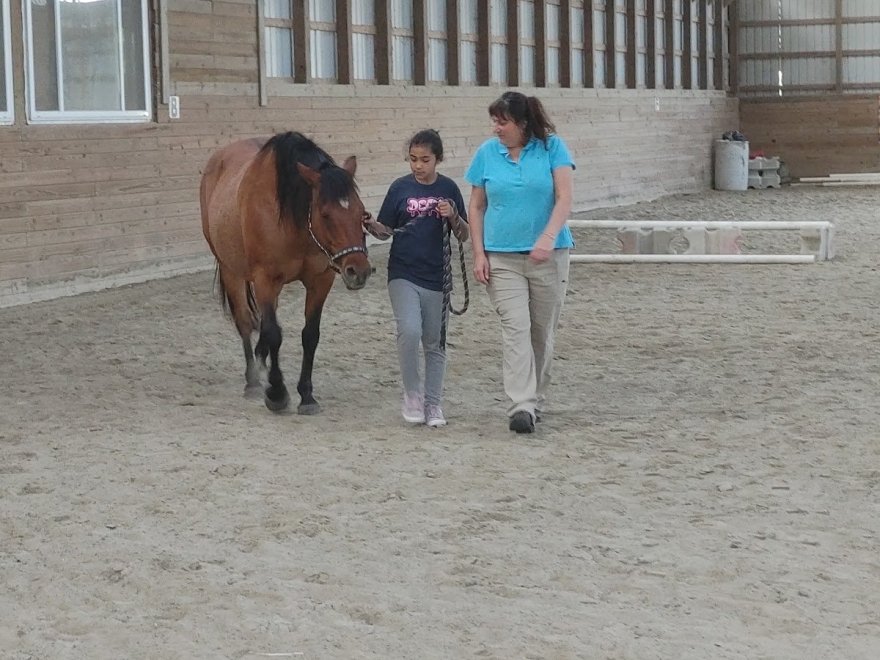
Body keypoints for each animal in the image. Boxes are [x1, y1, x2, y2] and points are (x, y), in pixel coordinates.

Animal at [199, 131, 372, 416]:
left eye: (362, 212)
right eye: (325, 214)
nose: (359, 271)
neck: (295, 220)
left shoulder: (320, 281)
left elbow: (309, 335)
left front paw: (307, 395)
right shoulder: (265, 280)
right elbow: (274, 333)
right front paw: (277, 393)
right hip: (230, 269)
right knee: (245, 321)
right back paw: (253, 382)